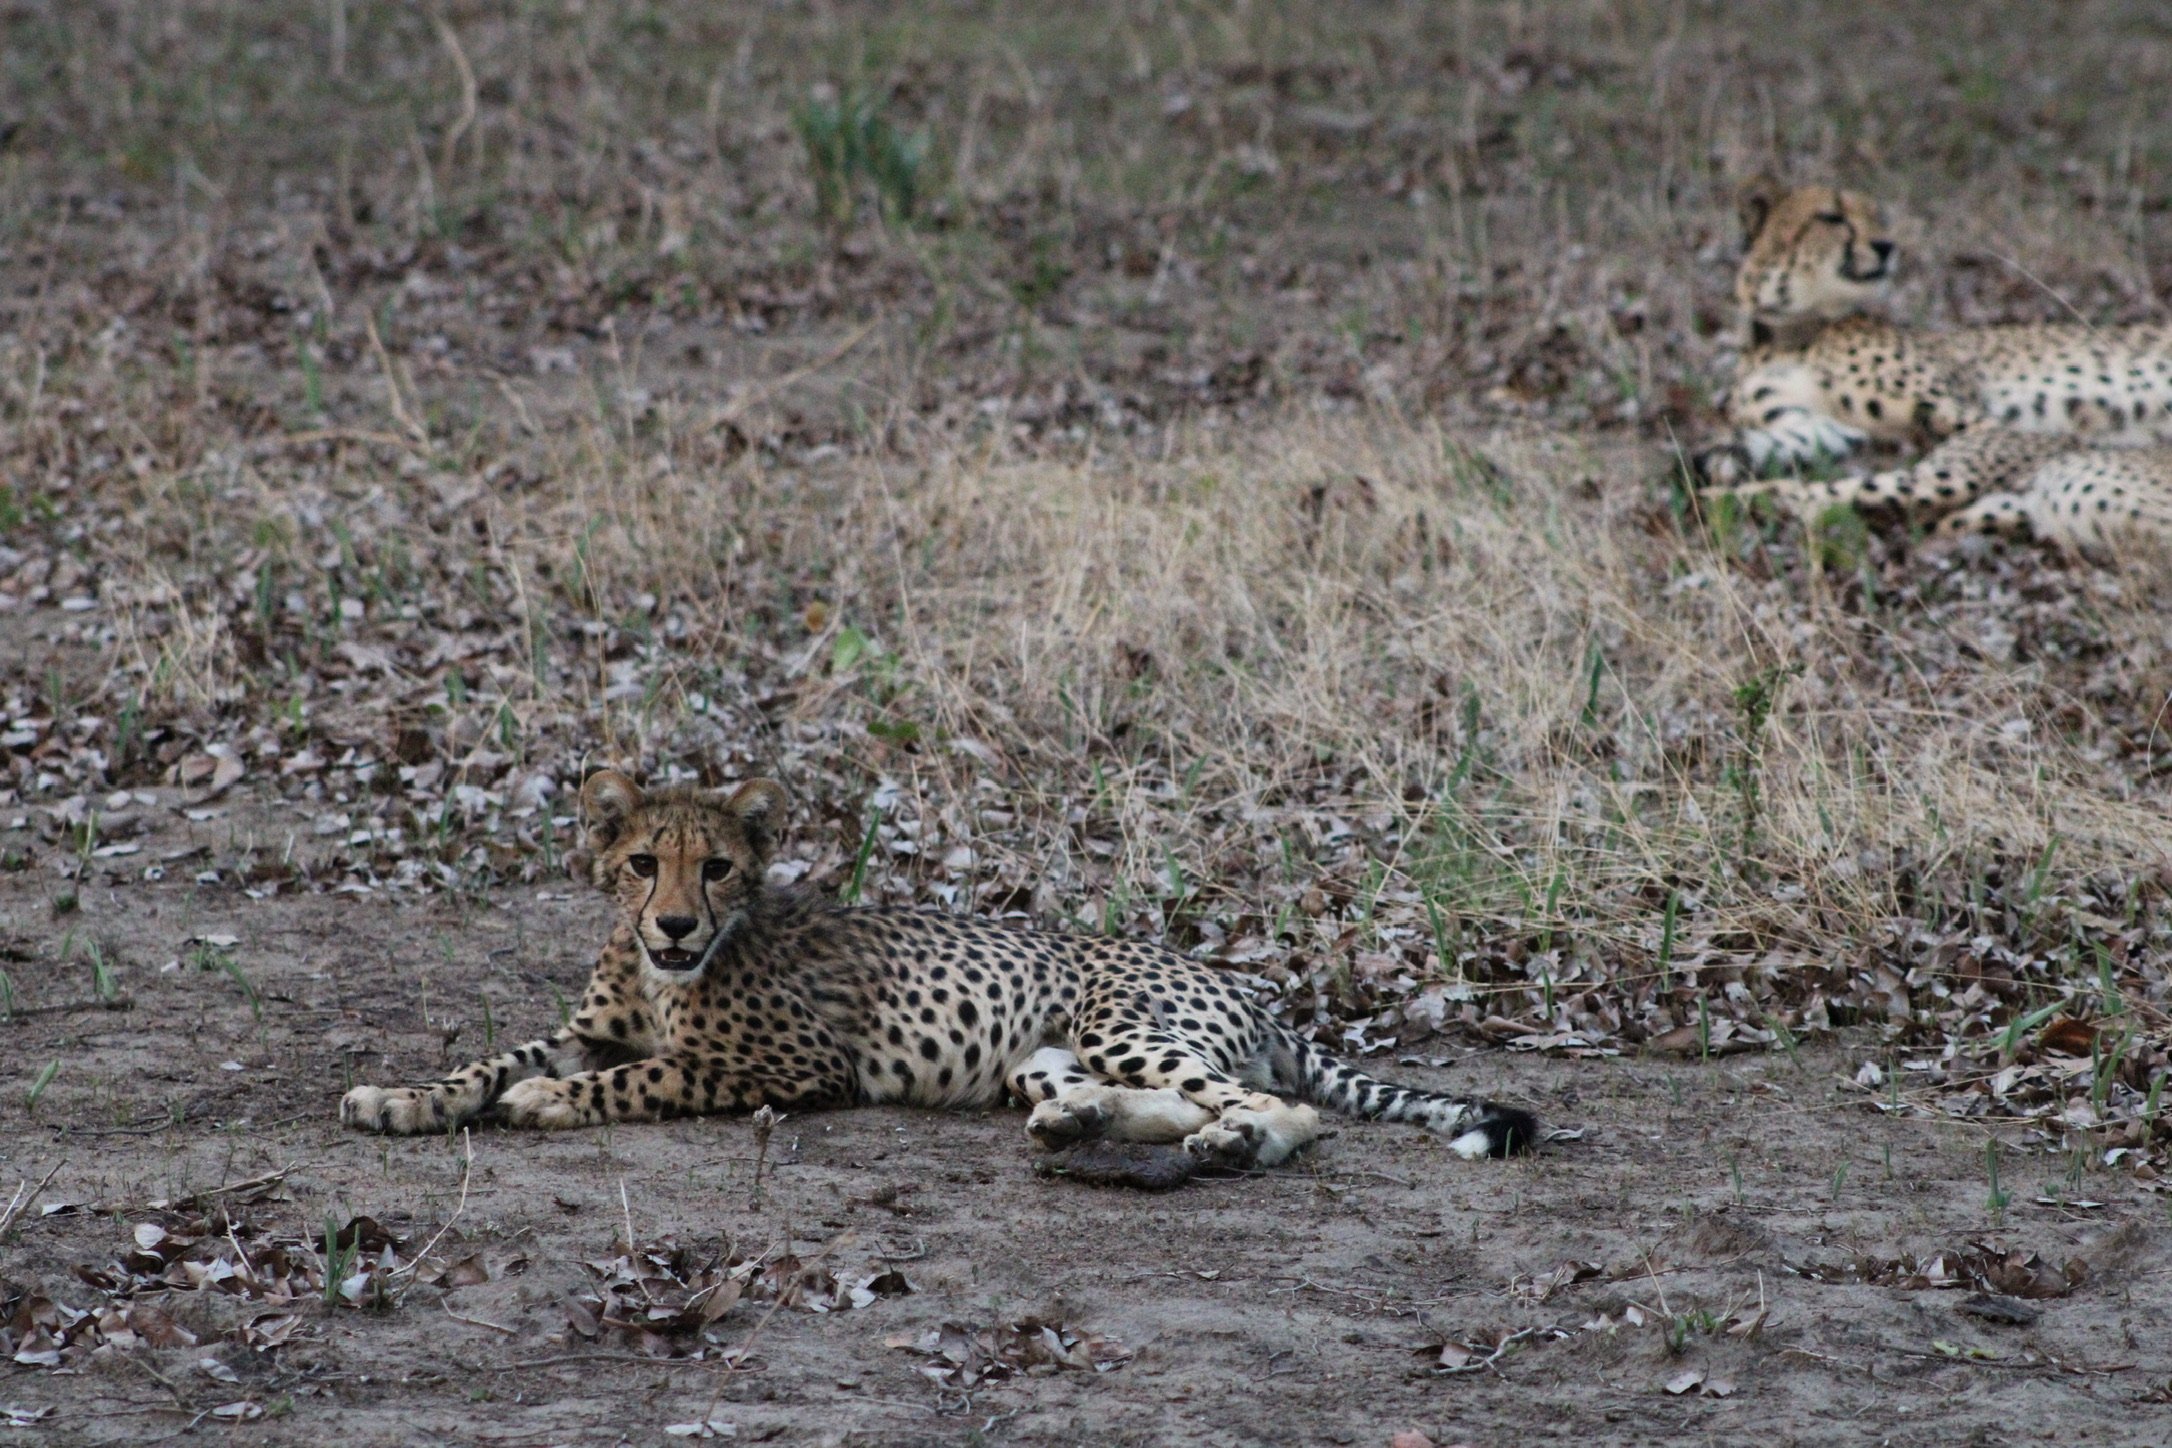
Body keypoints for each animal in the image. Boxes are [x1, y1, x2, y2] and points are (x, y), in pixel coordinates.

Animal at [340, 769, 1539, 1171]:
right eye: (642, 863)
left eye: (715, 866)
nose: (675, 923)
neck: (659, 970)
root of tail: (1245, 981)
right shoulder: (596, 1026)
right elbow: (490, 1060)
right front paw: (397, 1098)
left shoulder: (784, 1063)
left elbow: (637, 1076)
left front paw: (546, 1102)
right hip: (1041, 1054)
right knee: (1151, 1099)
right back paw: (1079, 1125)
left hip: (1125, 1022)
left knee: (1280, 1106)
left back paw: (1236, 1143)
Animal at [1694, 178, 2172, 546]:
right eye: (1831, 217)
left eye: (1878, 218)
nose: (1886, 246)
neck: (1791, 333)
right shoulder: (1825, 427)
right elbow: (1764, 443)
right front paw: (1719, 456)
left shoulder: (1973, 420)